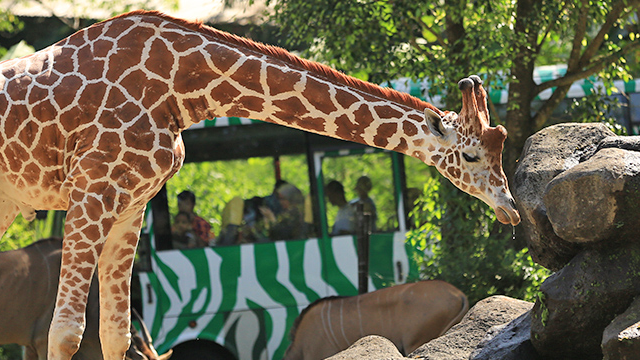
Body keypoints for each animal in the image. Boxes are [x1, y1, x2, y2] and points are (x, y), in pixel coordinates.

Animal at [0, 9, 520, 358]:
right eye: (471, 154)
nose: (511, 209)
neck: (180, 89)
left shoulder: (130, 205)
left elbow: (116, 333)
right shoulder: (91, 192)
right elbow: (66, 330)